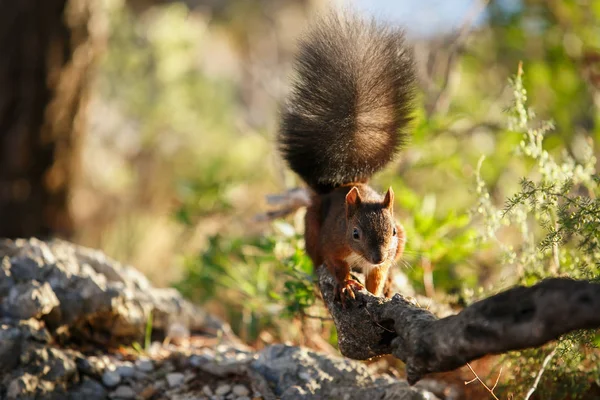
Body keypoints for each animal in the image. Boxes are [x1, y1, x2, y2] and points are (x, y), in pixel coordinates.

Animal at [278, 10, 414, 302]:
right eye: (355, 233)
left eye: (392, 230)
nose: (378, 256)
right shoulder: (333, 243)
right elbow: (337, 266)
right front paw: (345, 285)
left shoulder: (384, 260)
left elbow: (377, 277)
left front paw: (378, 292)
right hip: (312, 229)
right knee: (317, 259)